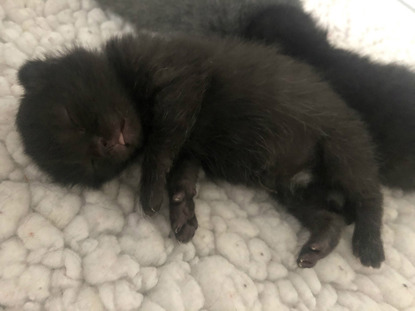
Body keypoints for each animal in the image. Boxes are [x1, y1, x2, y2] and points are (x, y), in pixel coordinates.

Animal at [17, 33, 386, 268]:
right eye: (92, 163)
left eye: (73, 118)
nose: (108, 144)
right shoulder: (189, 150)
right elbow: (180, 174)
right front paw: (181, 211)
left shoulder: (182, 80)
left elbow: (161, 143)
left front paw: (149, 191)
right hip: (292, 191)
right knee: (331, 218)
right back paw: (318, 245)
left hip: (341, 147)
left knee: (370, 195)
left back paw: (369, 244)